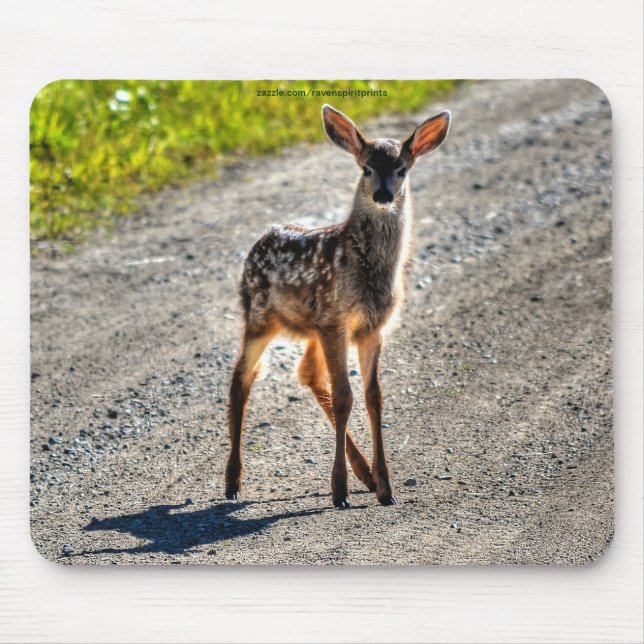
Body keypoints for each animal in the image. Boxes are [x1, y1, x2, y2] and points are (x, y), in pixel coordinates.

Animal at [224, 104, 451, 509]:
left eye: (402, 169)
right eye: (366, 168)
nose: (382, 194)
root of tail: (260, 239)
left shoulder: (370, 328)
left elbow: (373, 398)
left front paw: (386, 488)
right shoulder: (336, 321)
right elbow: (345, 397)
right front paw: (340, 491)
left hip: (311, 329)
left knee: (307, 374)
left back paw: (366, 475)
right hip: (259, 316)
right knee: (242, 377)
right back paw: (233, 482)